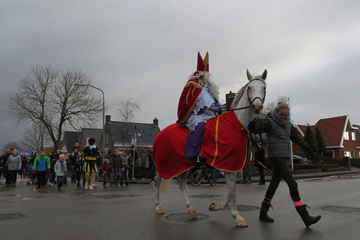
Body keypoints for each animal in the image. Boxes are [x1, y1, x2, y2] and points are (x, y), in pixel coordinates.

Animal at [153, 69, 268, 227]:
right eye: (250, 88)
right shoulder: (228, 165)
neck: (236, 125)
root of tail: (160, 134)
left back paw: (191, 208)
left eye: (264, 88)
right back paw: (158, 206)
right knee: (157, 181)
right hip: (164, 165)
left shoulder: (231, 166)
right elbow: (232, 192)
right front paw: (237, 217)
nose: (257, 106)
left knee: (182, 184)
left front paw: (215, 206)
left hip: (183, 164)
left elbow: (231, 192)